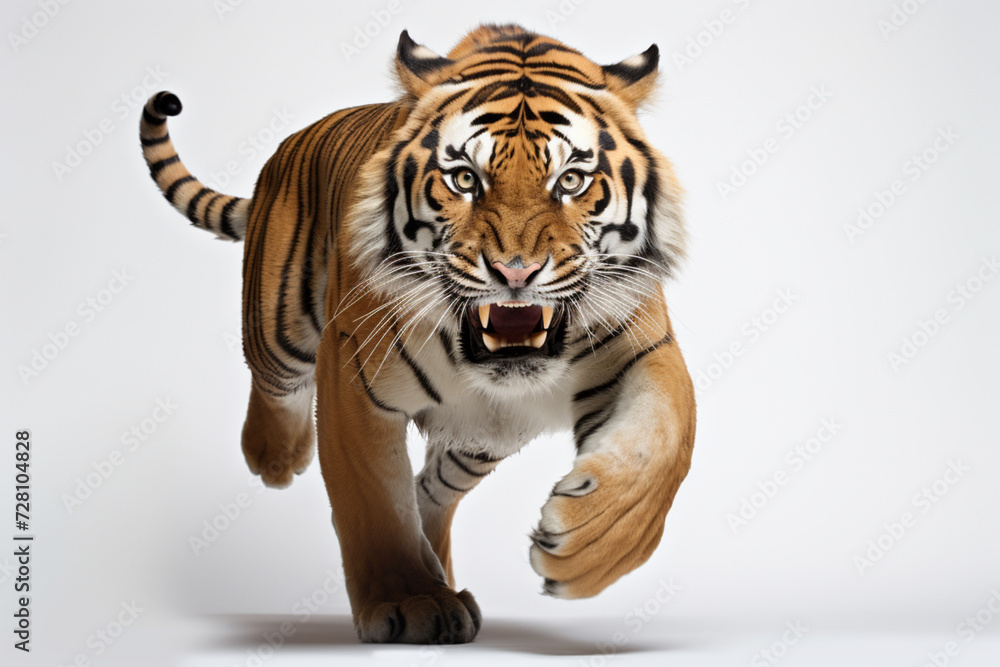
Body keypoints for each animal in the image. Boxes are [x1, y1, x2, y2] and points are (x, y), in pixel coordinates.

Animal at [139, 23, 695, 644]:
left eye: (571, 180)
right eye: (465, 179)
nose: (516, 272)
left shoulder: (644, 349)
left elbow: (666, 443)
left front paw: (587, 549)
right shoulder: (353, 377)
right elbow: (374, 500)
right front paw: (409, 601)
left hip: (485, 435)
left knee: (431, 491)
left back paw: (443, 572)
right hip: (278, 325)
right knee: (274, 381)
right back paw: (276, 456)